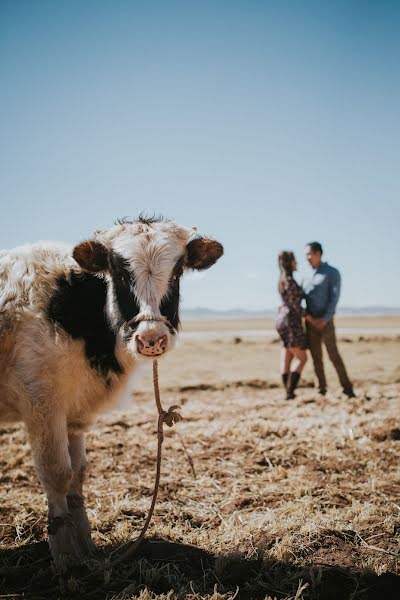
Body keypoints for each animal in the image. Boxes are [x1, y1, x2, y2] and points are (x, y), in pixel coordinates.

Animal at [0, 216, 225, 564]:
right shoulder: (41, 404)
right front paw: (65, 558)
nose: (151, 339)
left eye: (176, 272)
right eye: (119, 273)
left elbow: (77, 474)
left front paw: (86, 548)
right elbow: (56, 473)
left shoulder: (76, 414)